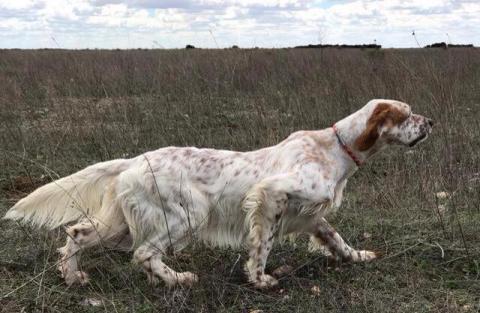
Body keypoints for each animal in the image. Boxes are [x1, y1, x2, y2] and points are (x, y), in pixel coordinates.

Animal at [3, 99, 434, 288]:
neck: (335, 148)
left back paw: (72, 276)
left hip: (121, 222)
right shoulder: (272, 195)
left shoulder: (313, 215)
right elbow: (262, 246)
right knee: (144, 254)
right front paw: (259, 280)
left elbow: (337, 239)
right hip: (186, 215)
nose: (430, 121)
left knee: (77, 234)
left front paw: (358, 256)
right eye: (407, 114)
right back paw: (177, 279)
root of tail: (133, 160)